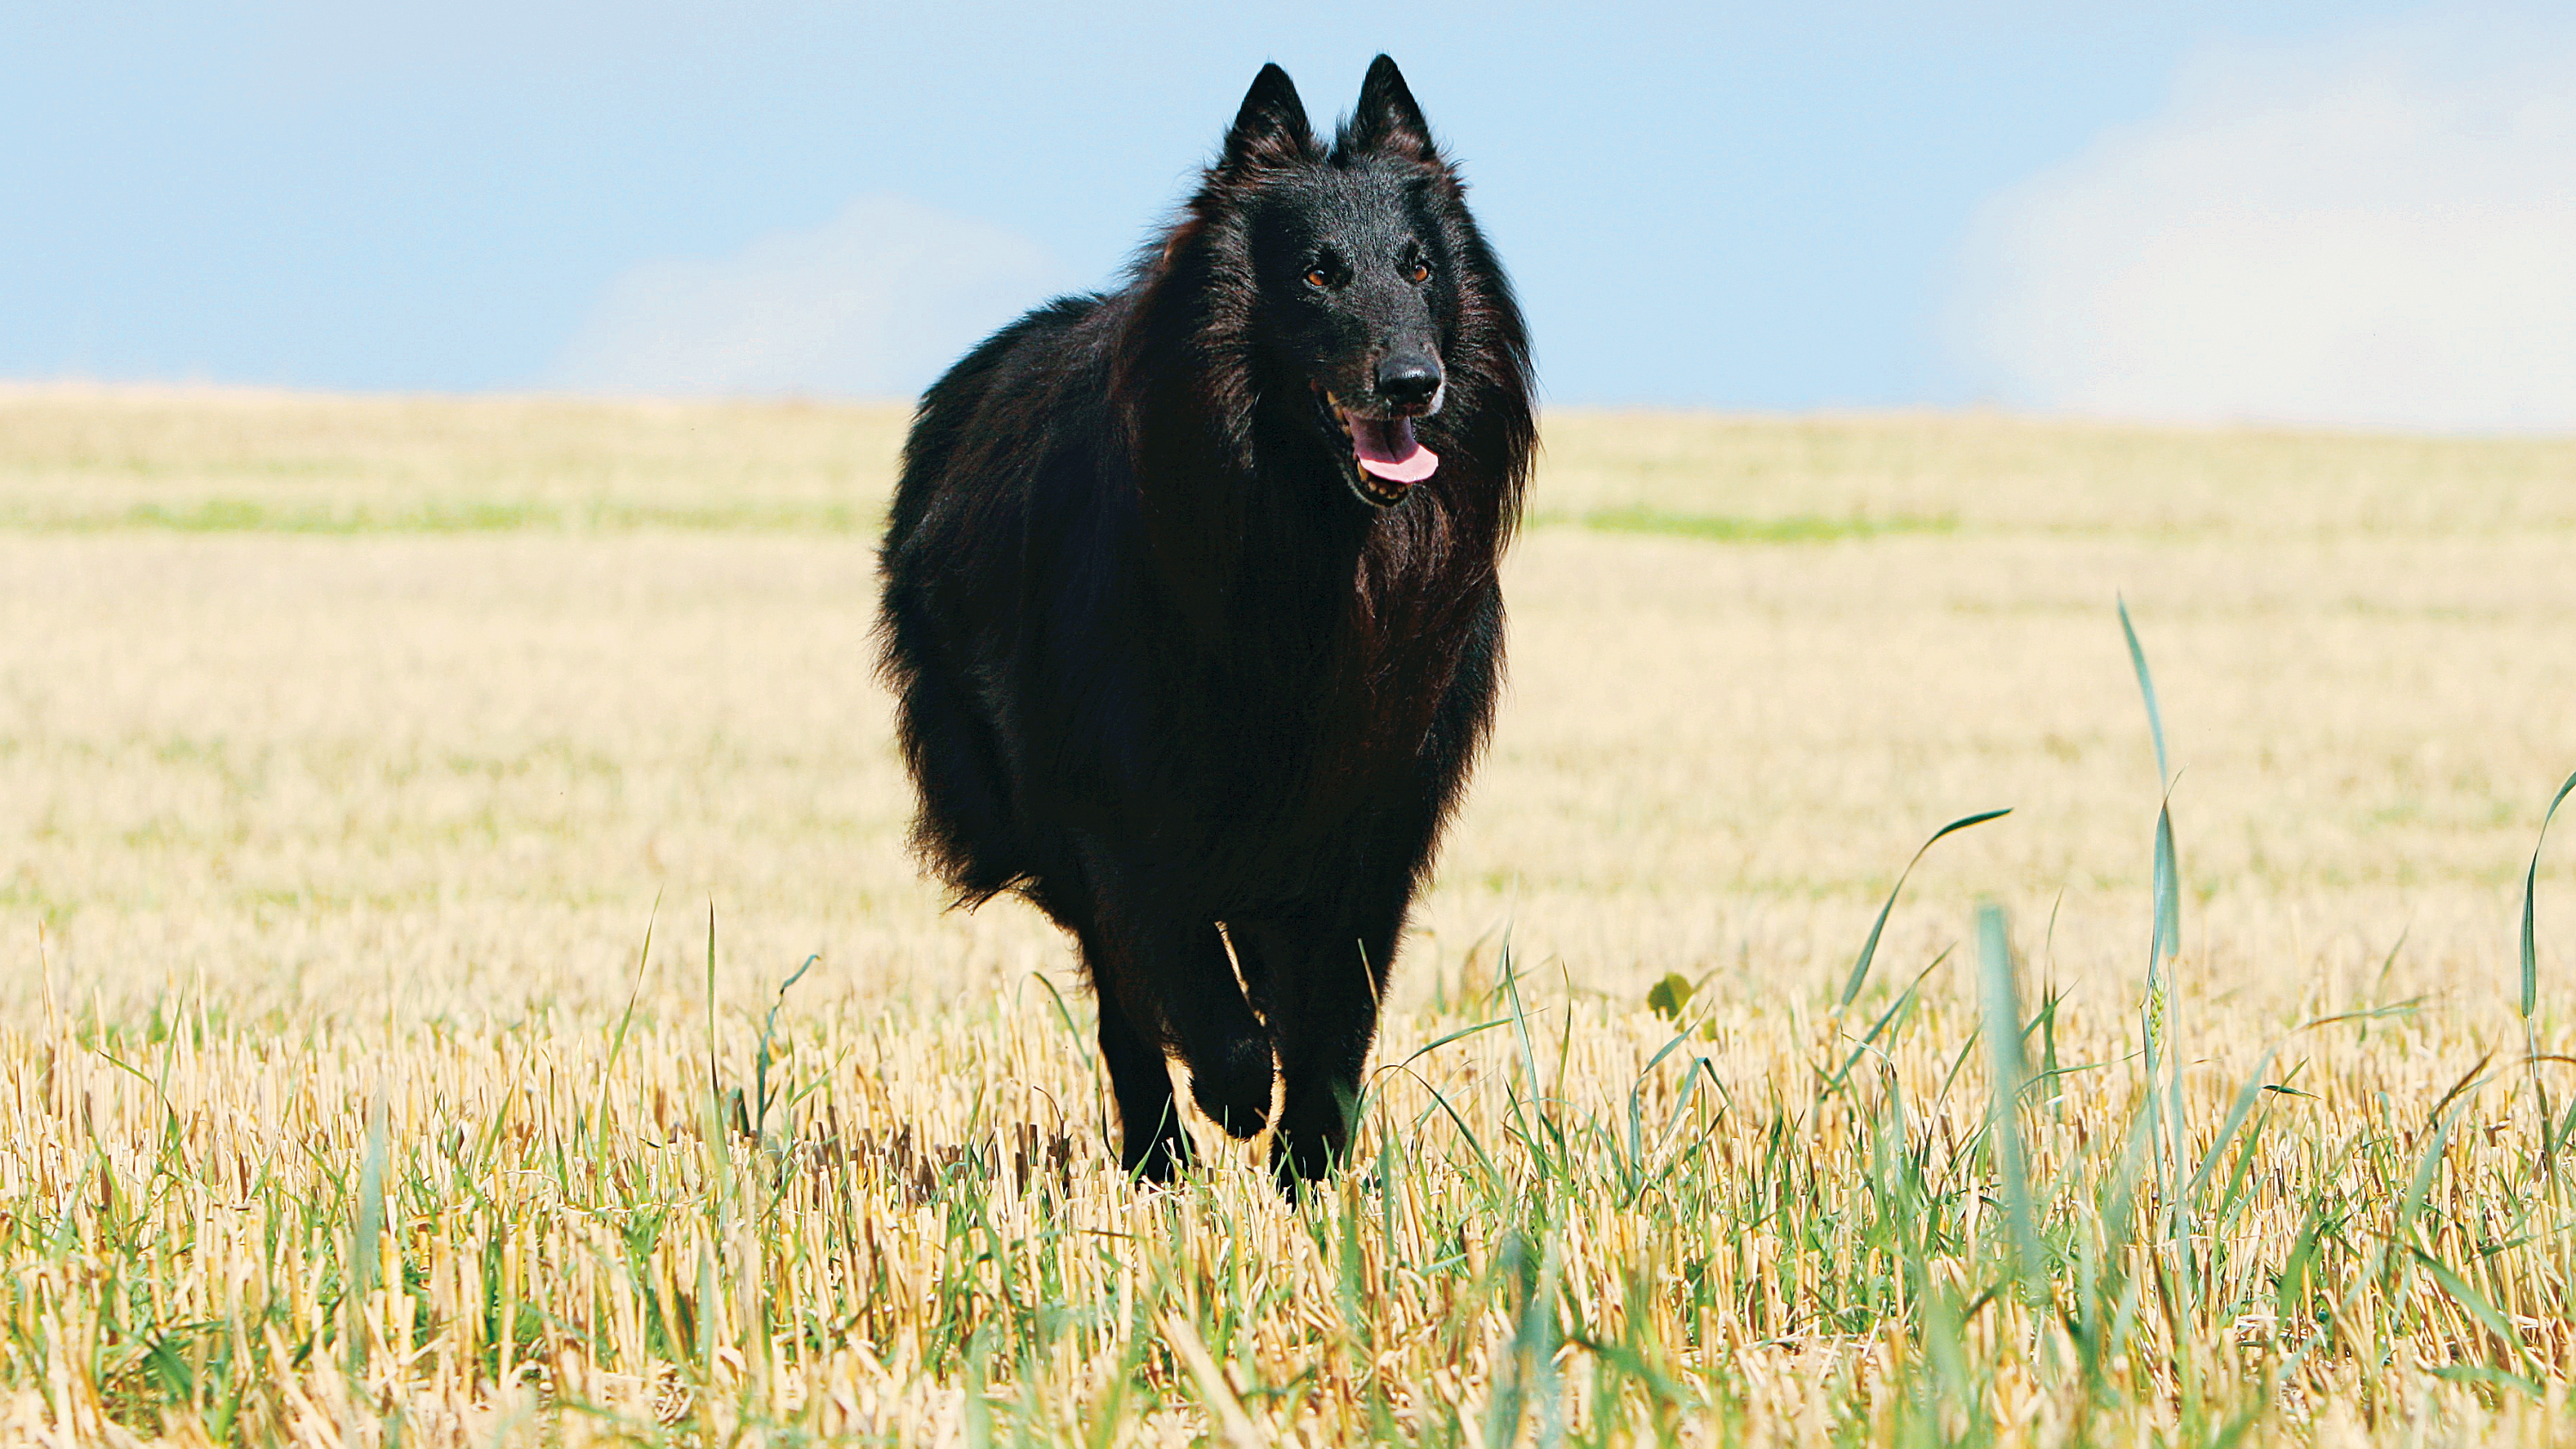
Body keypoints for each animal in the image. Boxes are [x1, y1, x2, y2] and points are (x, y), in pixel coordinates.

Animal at [886, 56, 1525, 1185]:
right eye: (1316, 275)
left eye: (1417, 268)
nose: (1413, 383)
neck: (1311, 544)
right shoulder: (1121, 814)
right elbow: (1186, 985)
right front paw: (1237, 1094)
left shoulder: (1375, 822)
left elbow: (1337, 1019)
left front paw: (1310, 1169)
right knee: (1126, 1005)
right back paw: (1160, 1152)